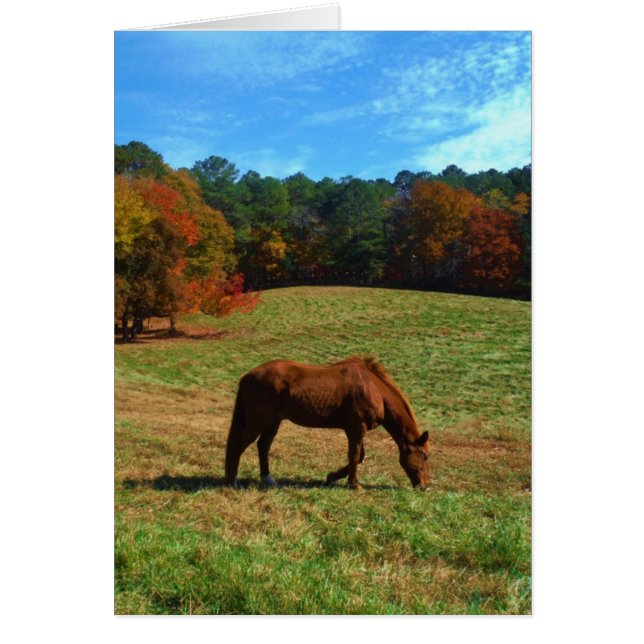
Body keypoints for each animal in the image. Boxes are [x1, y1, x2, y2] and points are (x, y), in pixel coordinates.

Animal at [224, 356, 429, 490]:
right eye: (424, 456)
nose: (424, 486)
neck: (373, 388)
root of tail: (248, 376)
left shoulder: (355, 429)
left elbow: (360, 456)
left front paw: (332, 477)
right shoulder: (356, 428)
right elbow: (355, 455)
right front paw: (354, 485)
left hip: (273, 421)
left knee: (263, 446)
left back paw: (268, 479)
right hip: (258, 421)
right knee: (239, 446)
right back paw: (232, 481)